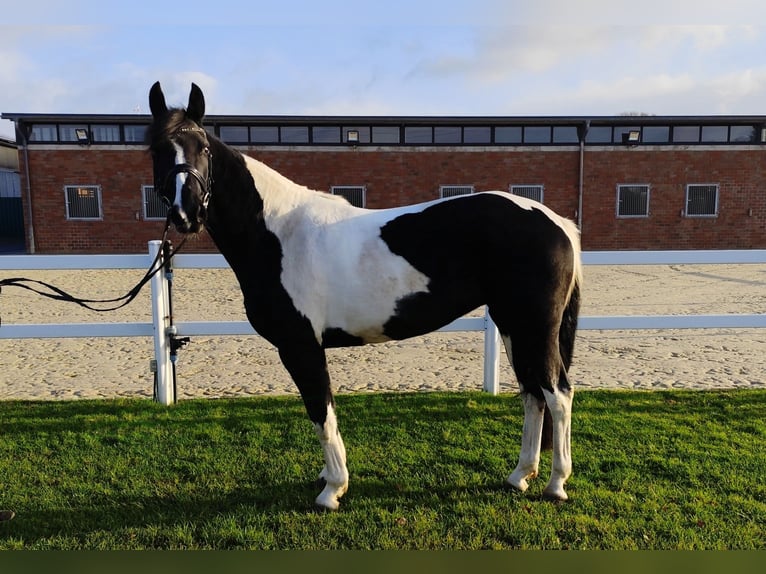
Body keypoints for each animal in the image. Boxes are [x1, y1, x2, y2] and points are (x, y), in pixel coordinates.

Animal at [147, 82, 584, 512]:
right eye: (156, 148)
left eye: (203, 147)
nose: (186, 214)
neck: (278, 233)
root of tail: (557, 222)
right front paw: (329, 478)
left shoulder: (300, 345)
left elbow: (320, 411)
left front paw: (332, 489)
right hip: (514, 325)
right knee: (533, 394)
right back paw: (519, 476)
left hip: (534, 327)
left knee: (557, 394)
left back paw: (555, 484)